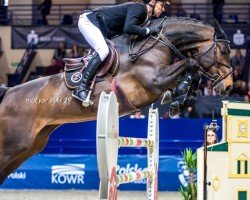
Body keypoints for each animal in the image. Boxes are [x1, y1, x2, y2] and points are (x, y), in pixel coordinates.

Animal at [0, 17, 232, 184]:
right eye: (223, 51)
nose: (228, 87)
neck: (157, 44)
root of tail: (9, 91)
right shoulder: (154, 81)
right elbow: (191, 63)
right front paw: (180, 95)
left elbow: (191, 70)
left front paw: (180, 100)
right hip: (13, 145)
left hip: (29, 147)